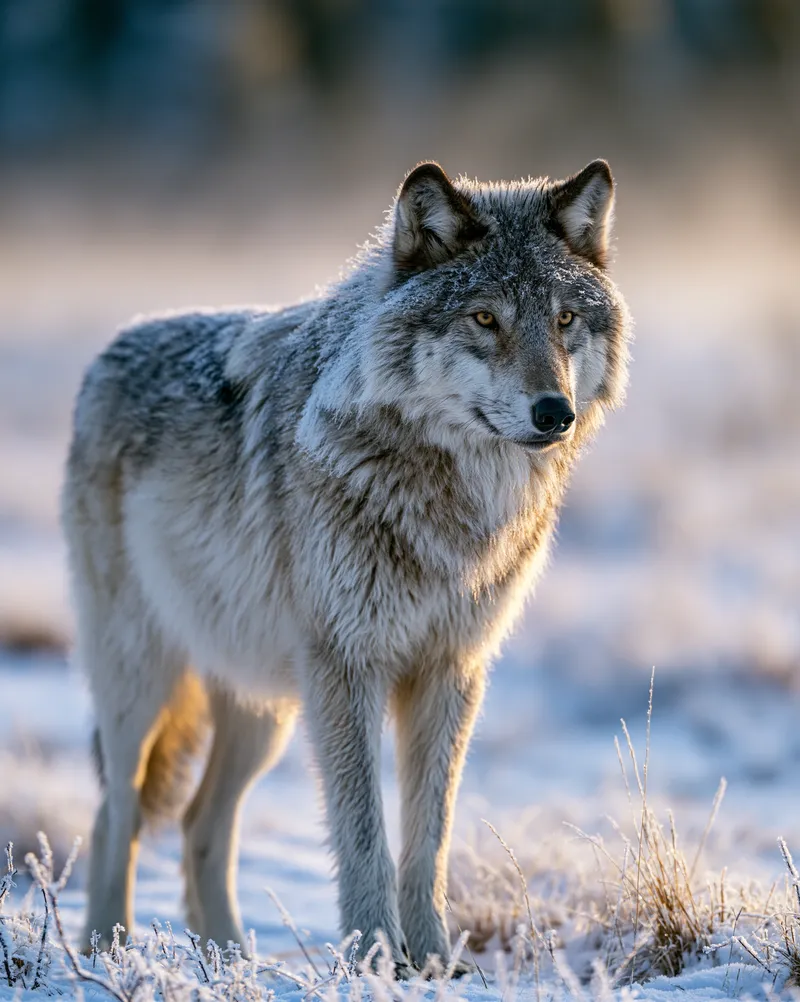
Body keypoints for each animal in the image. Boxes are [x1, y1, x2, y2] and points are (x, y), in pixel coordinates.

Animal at [62, 159, 631, 971]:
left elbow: (429, 839)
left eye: (564, 320)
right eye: (485, 319)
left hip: (263, 710)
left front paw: (432, 963)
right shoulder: (347, 668)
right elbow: (363, 837)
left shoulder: (451, 671)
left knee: (202, 822)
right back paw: (106, 955)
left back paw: (232, 962)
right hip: (143, 684)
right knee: (118, 814)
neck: (451, 507)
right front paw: (376, 960)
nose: (555, 412)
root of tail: (114, 346)